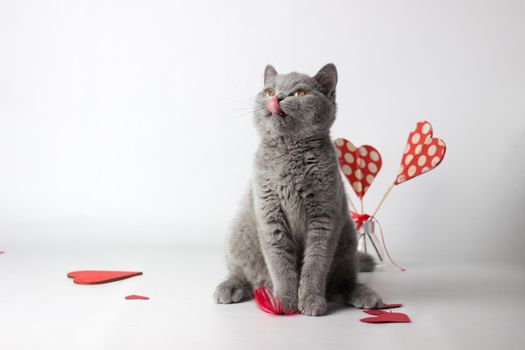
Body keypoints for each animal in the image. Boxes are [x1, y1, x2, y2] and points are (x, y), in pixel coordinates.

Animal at [215, 64, 382, 316]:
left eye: (300, 93)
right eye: (268, 91)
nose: (277, 97)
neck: (289, 153)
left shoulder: (323, 220)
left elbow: (315, 264)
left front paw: (311, 300)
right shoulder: (270, 216)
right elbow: (280, 265)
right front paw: (284, 301)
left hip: (347, 239)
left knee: (343, 282)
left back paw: (366, 295)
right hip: (238, 235)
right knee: (244, 274)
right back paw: (230, 288)